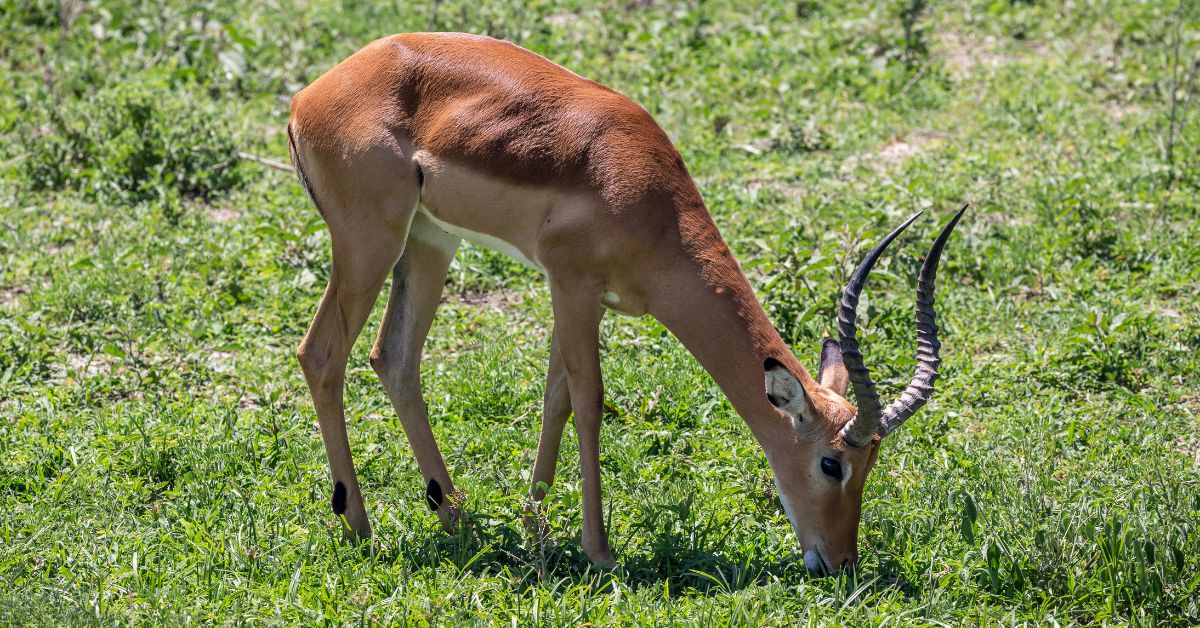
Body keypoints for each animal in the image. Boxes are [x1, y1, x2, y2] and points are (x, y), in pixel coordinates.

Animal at [286, 32, 966, 573]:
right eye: (831, 464)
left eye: (872, 465)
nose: (840, 561)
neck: (647, 196)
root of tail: (310, 97)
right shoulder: (572, 286)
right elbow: (589, 403)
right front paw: (599, 551)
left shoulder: (578, 297)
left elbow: (556, 399)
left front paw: (535, 529)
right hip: (370, 243)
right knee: (321, 355)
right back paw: (361, 527)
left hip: (431, 241)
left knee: (394, 358)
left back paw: (457, 517)